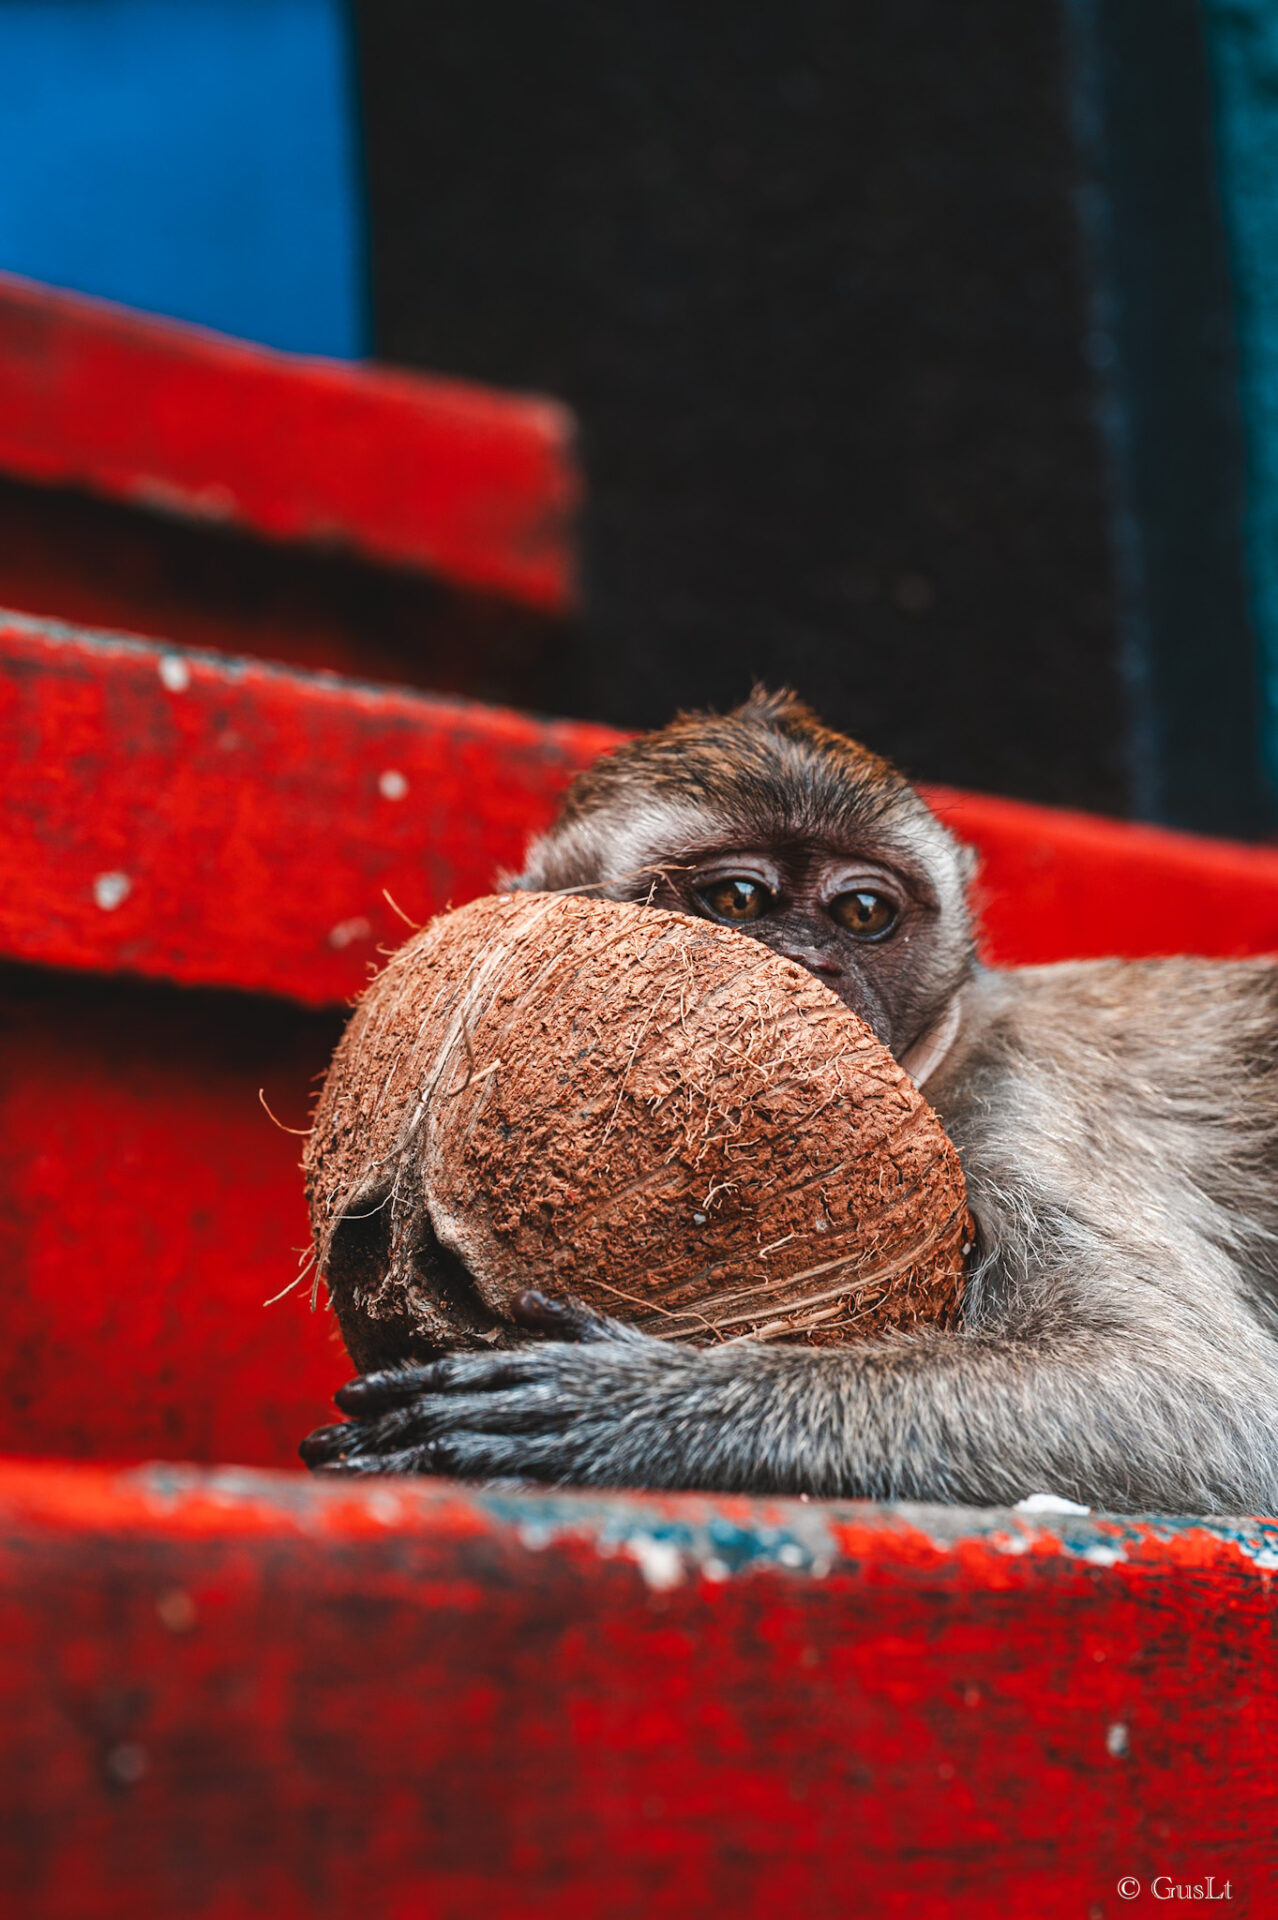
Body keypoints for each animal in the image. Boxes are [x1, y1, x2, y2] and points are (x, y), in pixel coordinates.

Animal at [301, 691, 1274, 1512]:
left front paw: (637, 1408)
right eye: (739, 898)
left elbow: (1204, 1405)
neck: (943, 1063)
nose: (813, 963)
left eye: (863, 913)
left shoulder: (1017, 1107)